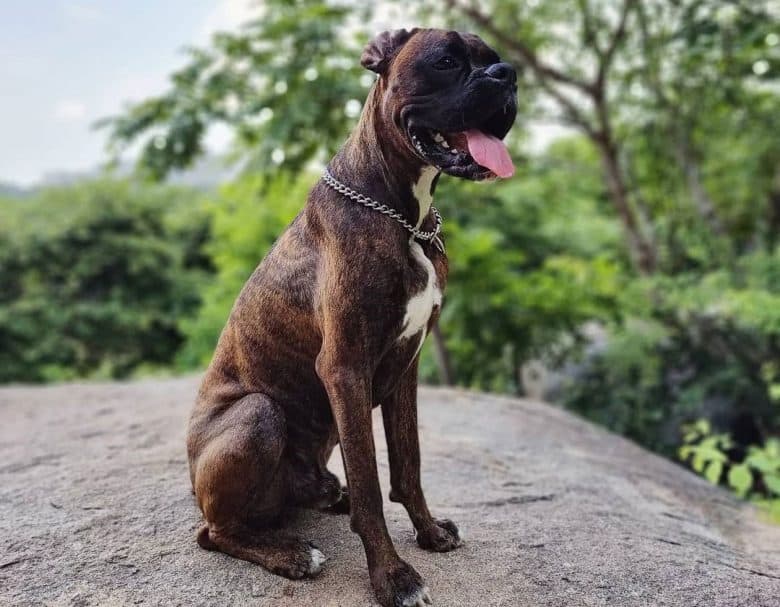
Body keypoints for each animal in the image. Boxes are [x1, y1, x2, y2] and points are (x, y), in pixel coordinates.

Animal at [187, 27, 516, 607]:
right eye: (446, 61)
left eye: (492, 59)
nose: (507, 75)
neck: (404, 215)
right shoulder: (345, 369)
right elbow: (369, 486)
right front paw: (392, 577)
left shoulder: (406, 367)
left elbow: (408, 464)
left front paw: (430, 533)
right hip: (257, 414)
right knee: (215, 532)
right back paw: (291, 554)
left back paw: (321, 495)